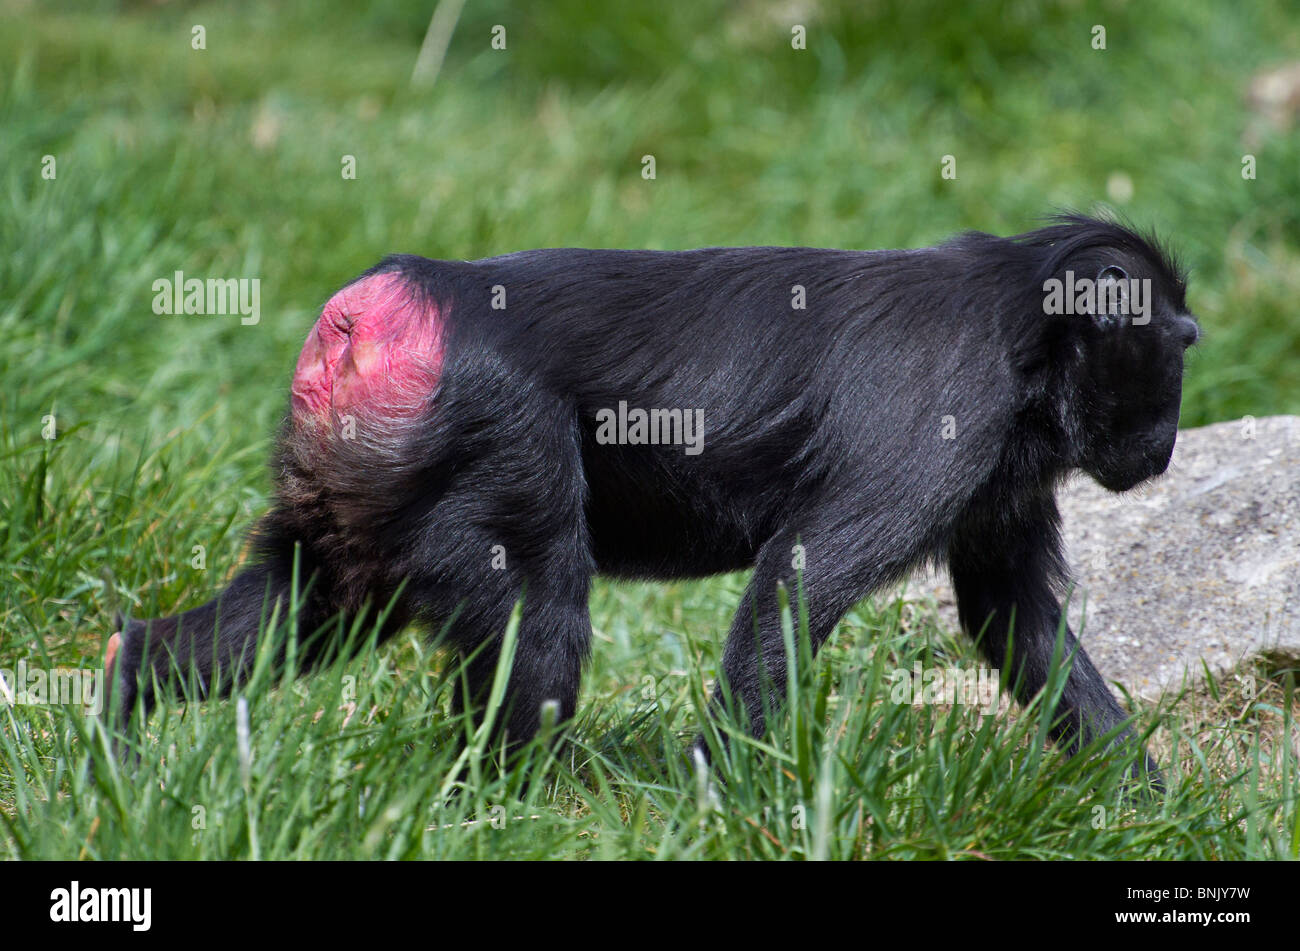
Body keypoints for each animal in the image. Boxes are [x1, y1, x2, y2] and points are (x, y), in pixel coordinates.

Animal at [104, 215, 1196, 784]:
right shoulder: (947, 411)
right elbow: (796, 585)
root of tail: (385, 304)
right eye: (1179, 343)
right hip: (491, 438)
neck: (1022, 314)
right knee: (539, 615)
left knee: (305, 606)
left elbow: (1016, 618)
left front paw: (1141, 802)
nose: (1170, 439)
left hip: (356, 473)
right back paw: (514, 804)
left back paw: (124, 715)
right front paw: (729, 800)